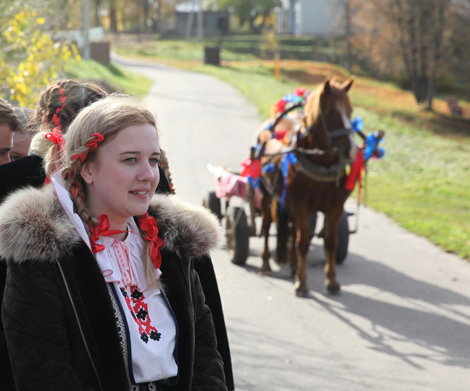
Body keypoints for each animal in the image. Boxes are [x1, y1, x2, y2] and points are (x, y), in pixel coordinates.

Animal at [258, 77, 356, 298]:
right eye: (331, 112)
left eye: (350, 111)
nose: (351, 150)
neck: (320, 164)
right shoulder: (301, 206)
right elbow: (302, 243)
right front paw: (301, 282)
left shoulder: (334, 207)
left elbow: (330, 241)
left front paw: (332, 280)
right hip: (268, 196)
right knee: (267, 227)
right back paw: (266, 262)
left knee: (292, 232)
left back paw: (294, 266)